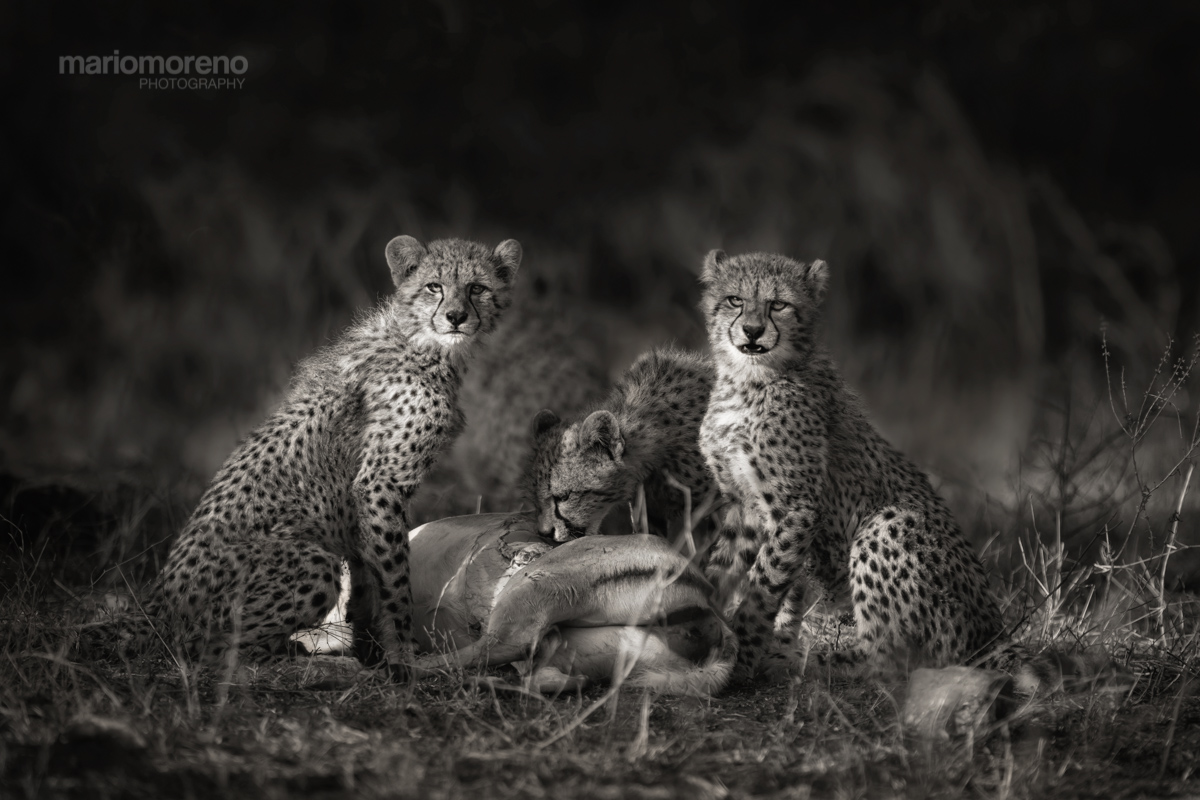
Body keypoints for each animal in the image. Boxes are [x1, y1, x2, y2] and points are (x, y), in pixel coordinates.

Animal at [134, 235, 521, 680]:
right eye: (434, 287)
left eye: (477, 288)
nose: (456, 317)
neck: (424, 343)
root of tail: (158, 602)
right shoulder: (380, 483)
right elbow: (394, 577)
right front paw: (403, 655)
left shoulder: (361, 505)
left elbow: (368, 575)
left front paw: (372, 649)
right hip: (310, 562)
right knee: (213, 653)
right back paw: (314, 664)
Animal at [696, 248, 1006, 684]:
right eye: (735, 300)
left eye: (779, 304)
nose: (753, 331)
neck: (748, 379)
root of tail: (992, 632)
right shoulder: (744, 505)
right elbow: (722, 570)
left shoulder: (797, 507)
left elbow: (764, 582)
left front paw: (741, 659)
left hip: (887, 524)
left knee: (892, 660)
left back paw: (809, 664)